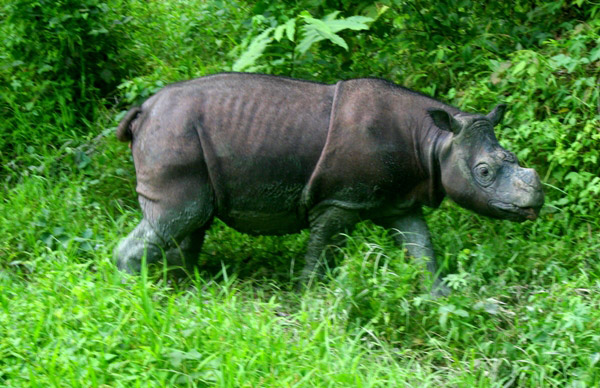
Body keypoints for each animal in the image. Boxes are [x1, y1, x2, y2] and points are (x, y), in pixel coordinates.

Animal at [115, 73, 548, 294]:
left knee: (191, 222)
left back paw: (187, 287)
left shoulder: (399, 201)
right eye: (484, 172)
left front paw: (438, 294)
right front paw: (312, 298)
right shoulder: (340, 200)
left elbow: (421, 248)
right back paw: (138, 294)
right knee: (175, 219)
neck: (434, 141)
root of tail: (143, 109)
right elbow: (323, 249)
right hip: (173, 132)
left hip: (181, 136)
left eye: (513, 159)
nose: (535, 203)